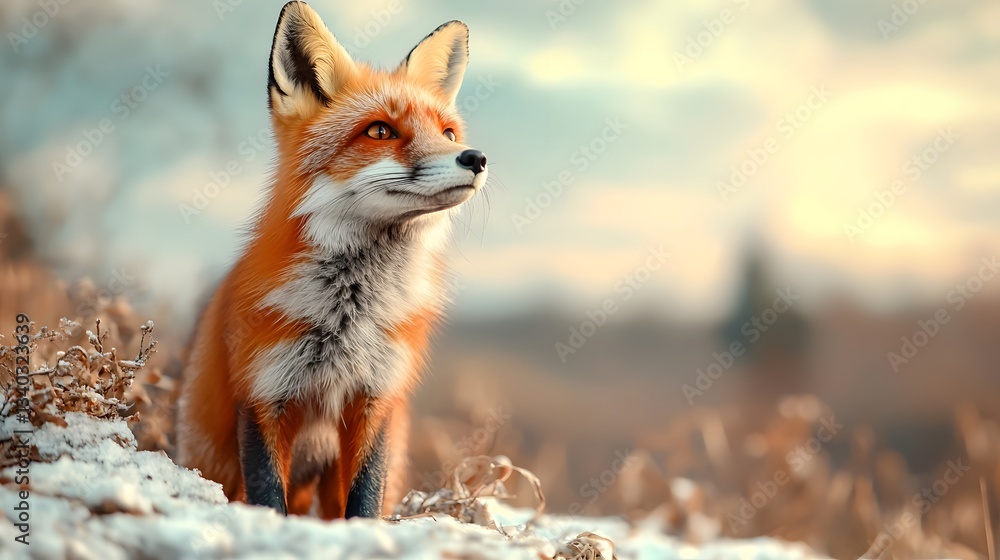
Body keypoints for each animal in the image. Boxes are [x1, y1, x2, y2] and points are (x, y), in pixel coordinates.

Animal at [175, 1, 487, 519]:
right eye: (380, 131)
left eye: (447, 132)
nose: (476, 158)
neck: (349, 311)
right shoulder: (263, 393)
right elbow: (268, 494)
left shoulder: (375, 395)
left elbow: (364, 495)